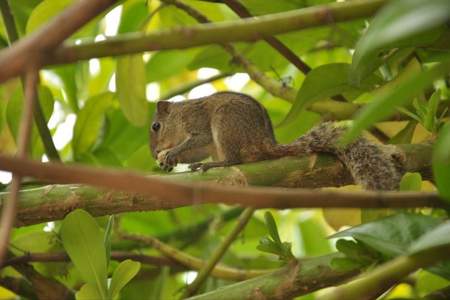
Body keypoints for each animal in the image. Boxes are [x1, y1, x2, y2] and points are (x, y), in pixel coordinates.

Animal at [149, 91, 406, 190]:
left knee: (234, 160)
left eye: (156, 126)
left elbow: (196, 140)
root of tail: (265, 144)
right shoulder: (203, 144)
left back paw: (214, 164)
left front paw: (170, 154)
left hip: (225, 124)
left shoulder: (198, 122)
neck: (178, 118)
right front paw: (166, 161)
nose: (154, 153)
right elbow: (195, 151)